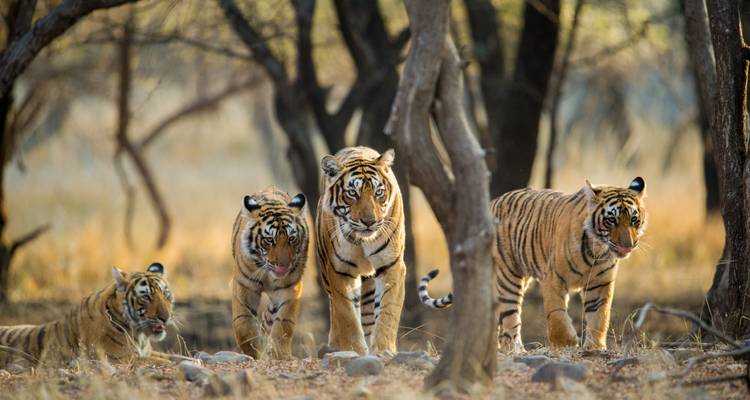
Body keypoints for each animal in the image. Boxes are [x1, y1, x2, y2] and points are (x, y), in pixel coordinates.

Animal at [0, 262, 175, 367]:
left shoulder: (147, 352)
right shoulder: (120, 358)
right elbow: (164, 362)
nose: (165, 318)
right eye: (146, 297)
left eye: (166, 294)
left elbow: (173, 357)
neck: (140, 336)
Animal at [231, 187, 308, 359]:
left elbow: (283, 323)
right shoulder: (244, 285)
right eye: (269, 240)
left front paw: (279, 354)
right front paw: (253, 353)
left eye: (292, 239)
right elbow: (243, 323)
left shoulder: (290, 288)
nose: (283, 266)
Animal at [316, 146, 406, 355]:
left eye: (378, 192)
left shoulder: (392, 265)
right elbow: (346, 315)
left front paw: (383, 350)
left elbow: (388, 311)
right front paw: (353, 349)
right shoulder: (339, 271)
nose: (369, 222)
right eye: (352, 193)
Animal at [419, 177, 648, 352]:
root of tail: (492, 202)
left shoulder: (600, 284)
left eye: (634, 220)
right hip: (508, 277)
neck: (597, 250)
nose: (628, 245)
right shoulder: (553, 279)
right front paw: (567, 343)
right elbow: (556, 315)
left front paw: (595, 347)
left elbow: (599, 316)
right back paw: (515, 350)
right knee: (510, 318)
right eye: (611, 220)